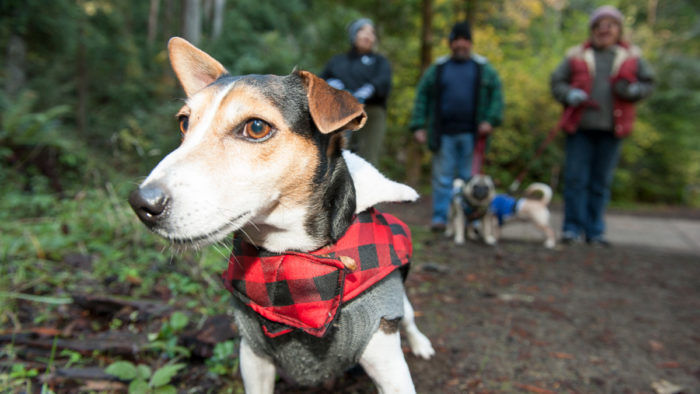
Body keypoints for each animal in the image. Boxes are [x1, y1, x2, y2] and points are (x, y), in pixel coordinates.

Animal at [126, 37, 432, 394]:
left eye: (257, 127)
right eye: (184, 123)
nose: (142, 203)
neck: (289, 258)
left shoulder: (388, 362)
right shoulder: (253, 356)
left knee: (409, 316)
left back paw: (421, 343)